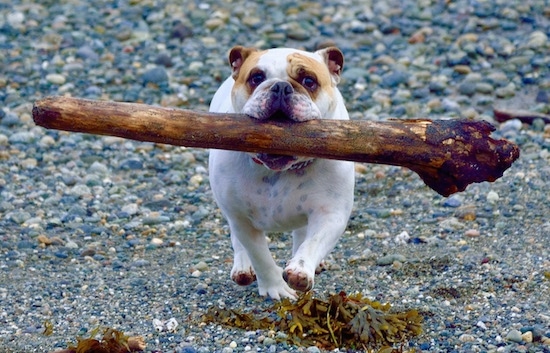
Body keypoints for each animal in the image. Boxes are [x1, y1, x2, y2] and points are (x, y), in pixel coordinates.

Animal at [209, 46, 356, 298]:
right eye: (256, 78)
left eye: (309, 81)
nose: (280, 86)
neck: (280, 168)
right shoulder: (242, 219)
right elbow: (260, 255)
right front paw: (275, 287)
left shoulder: (331, 213)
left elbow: (313, 242)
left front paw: (300, 270)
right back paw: (242, 267)